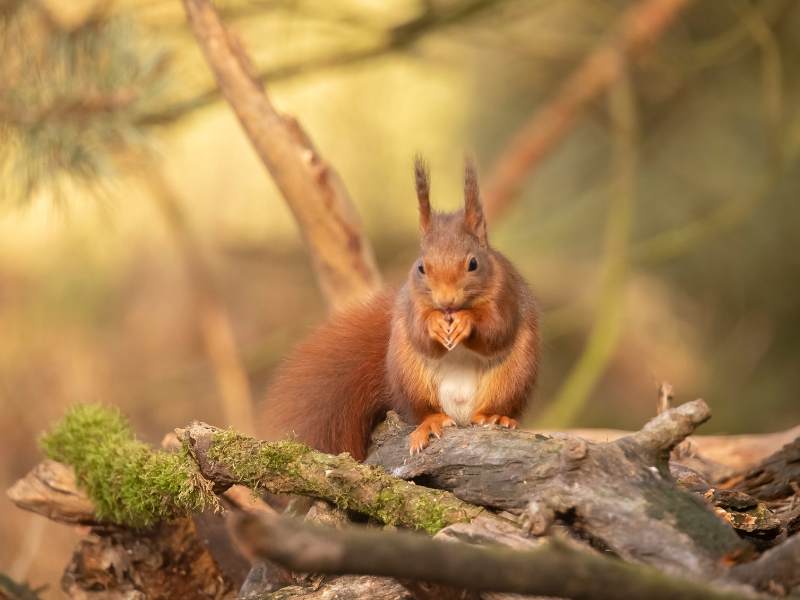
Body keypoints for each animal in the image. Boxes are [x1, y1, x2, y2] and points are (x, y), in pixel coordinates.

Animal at [260, 158, 540, 460]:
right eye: (421, 267)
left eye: (473, 264)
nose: (446, 301)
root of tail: (461, 416)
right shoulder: (411, 305)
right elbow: (419, 334)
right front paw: (434, 325)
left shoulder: (507, 295)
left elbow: (496, 330)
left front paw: (467, 321)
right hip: (411, 377)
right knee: (424, 411)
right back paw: (430, 423)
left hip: (513, 377)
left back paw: (494, 416)